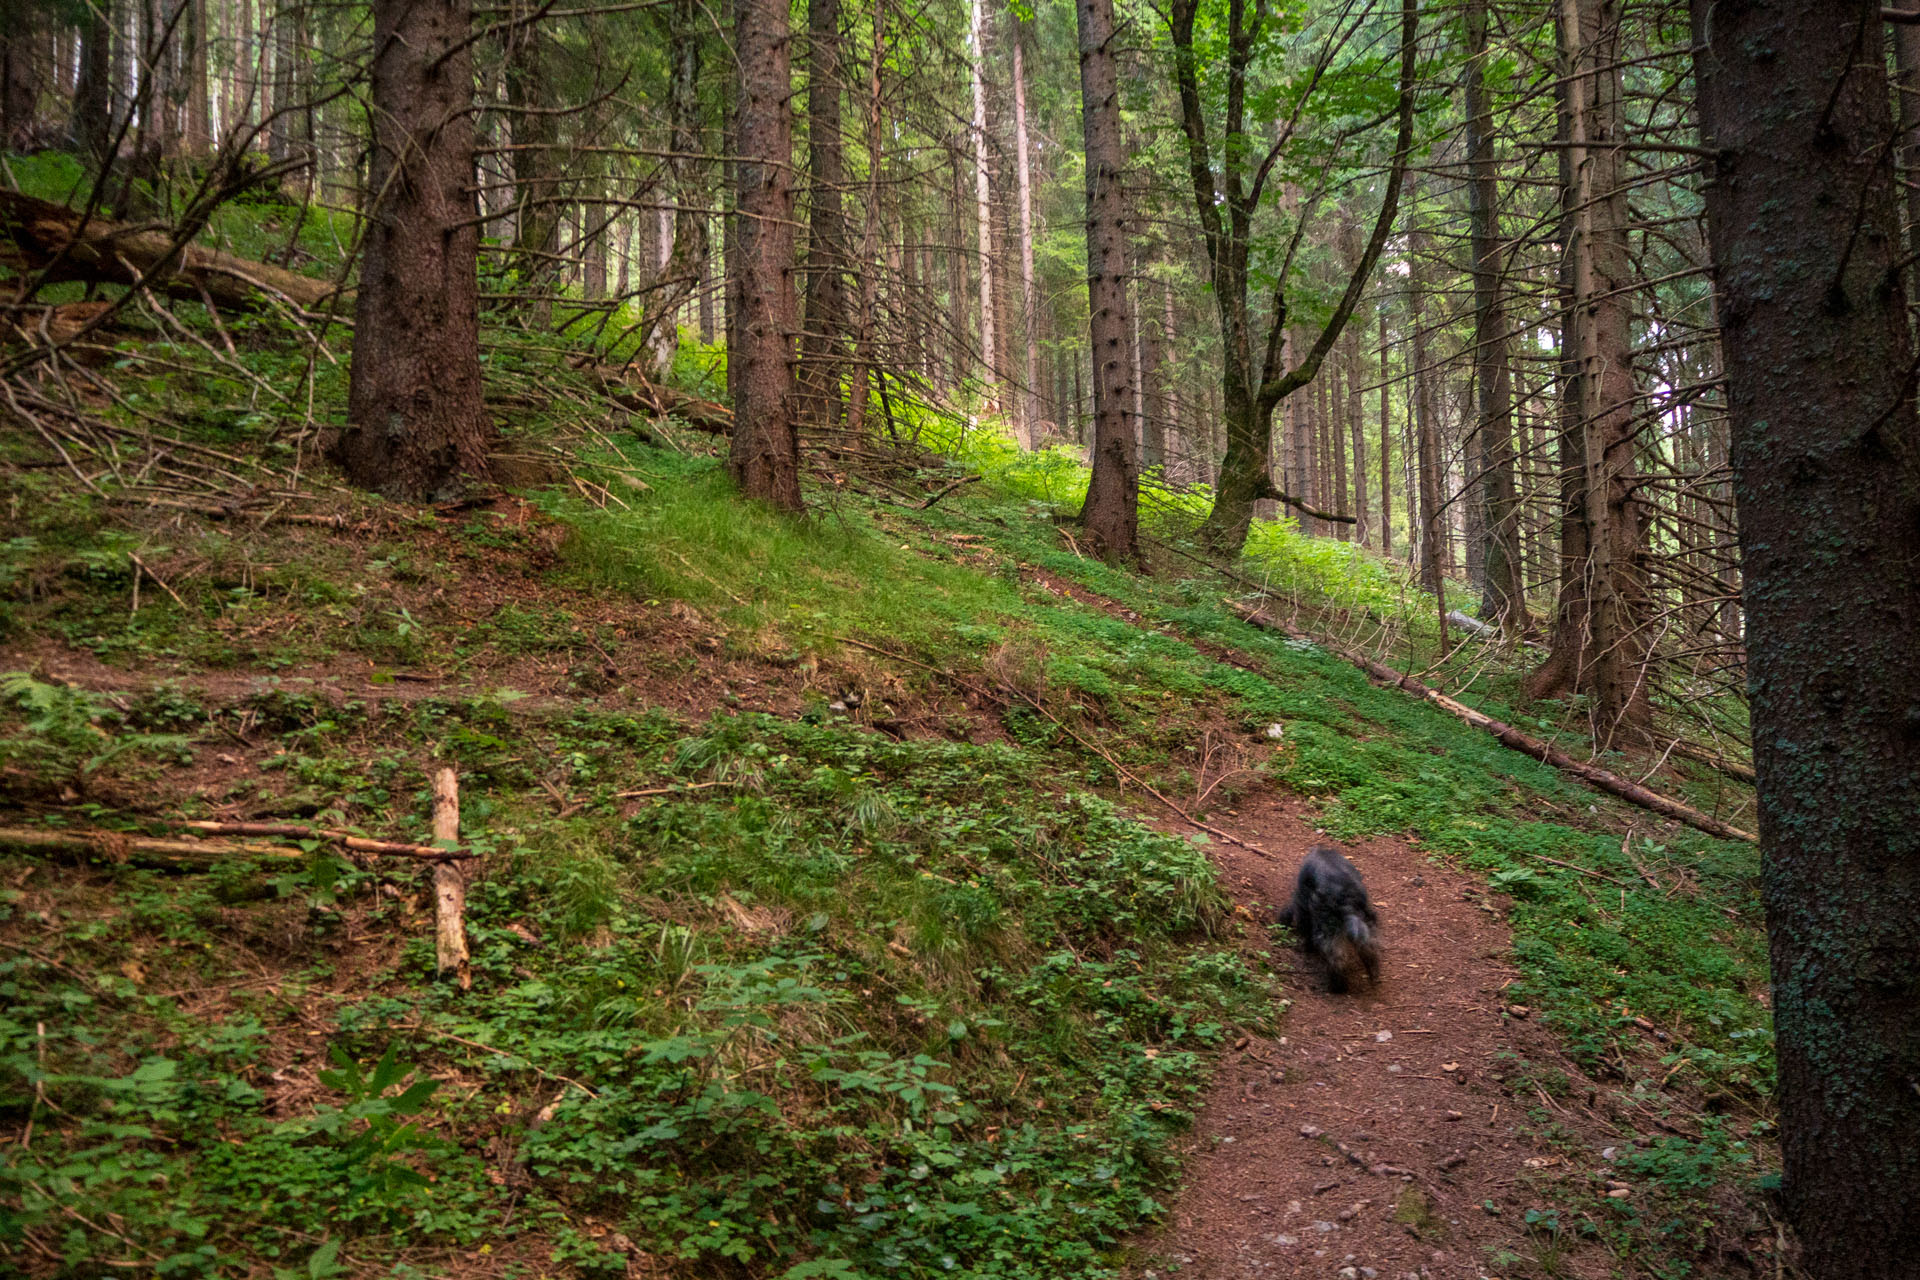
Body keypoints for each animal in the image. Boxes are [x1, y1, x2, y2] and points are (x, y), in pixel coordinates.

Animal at [1274, 844, 1382, 997]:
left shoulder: (1302, 901)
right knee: (1369, 946)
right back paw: (1373, 974)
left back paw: (1337, 987)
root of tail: (1347, 898)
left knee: (1335, 956)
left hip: (1327, 925)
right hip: (1366, 920)